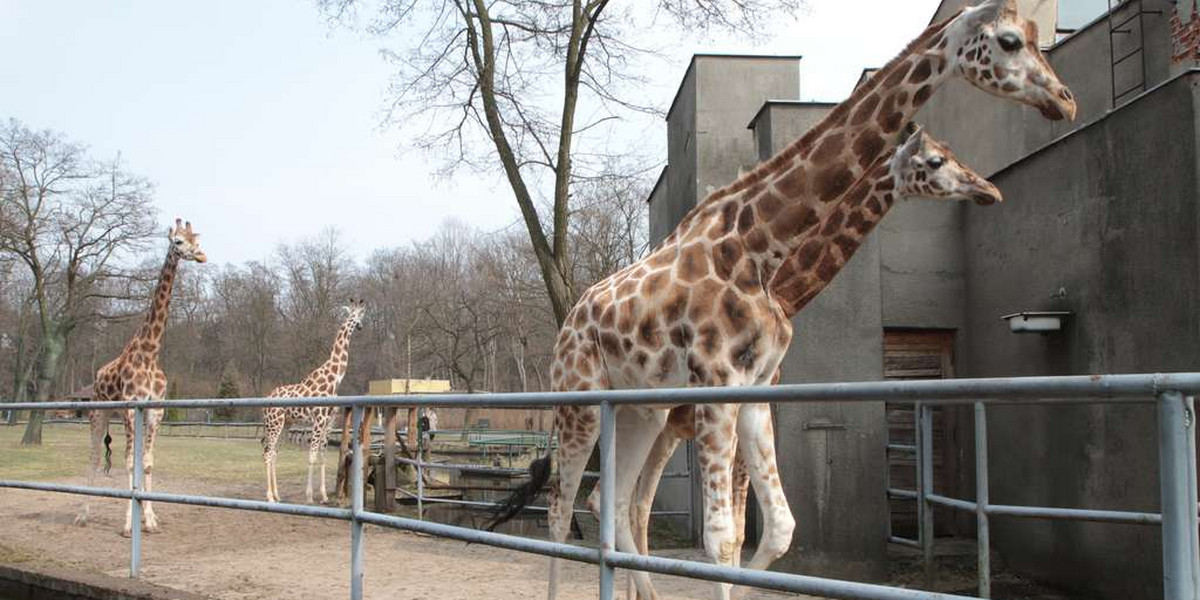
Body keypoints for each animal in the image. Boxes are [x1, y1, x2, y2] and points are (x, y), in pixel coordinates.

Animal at [76, 219, 210, 535]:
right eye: (178, 242)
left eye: (196, 240)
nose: (201, 256)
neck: (149, 352)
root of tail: (97, 377)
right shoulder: (130, 406)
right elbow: (128, 462)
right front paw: (129, 525)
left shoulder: (155, 410)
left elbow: (146, 462)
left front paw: (149, 520)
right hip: (98, 412)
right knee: (94, 455)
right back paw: (82, 516)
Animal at [265, 297, 367, 504]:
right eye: (359, 315)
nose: (360, 326)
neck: (334, 377)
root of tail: (265, 402)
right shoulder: (319, 419)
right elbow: (312, 456)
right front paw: (310, 497)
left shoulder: (328, 422)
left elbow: (323, 456)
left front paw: (325, 496)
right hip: (274, 424)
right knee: (268, 453)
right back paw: (270, 496)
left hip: (285, 424)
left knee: (274, 453)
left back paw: (277, 495)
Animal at [487, 1, 1080, 600]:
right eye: (1009, 41)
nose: (1065, 99)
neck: (760, 251)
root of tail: (567, 325)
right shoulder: (717, 386)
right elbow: (722, 537)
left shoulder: (754, 393)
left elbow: (777, 528)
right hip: (579, 401)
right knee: (562, 511)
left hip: (642, 412)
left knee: (610, 503)